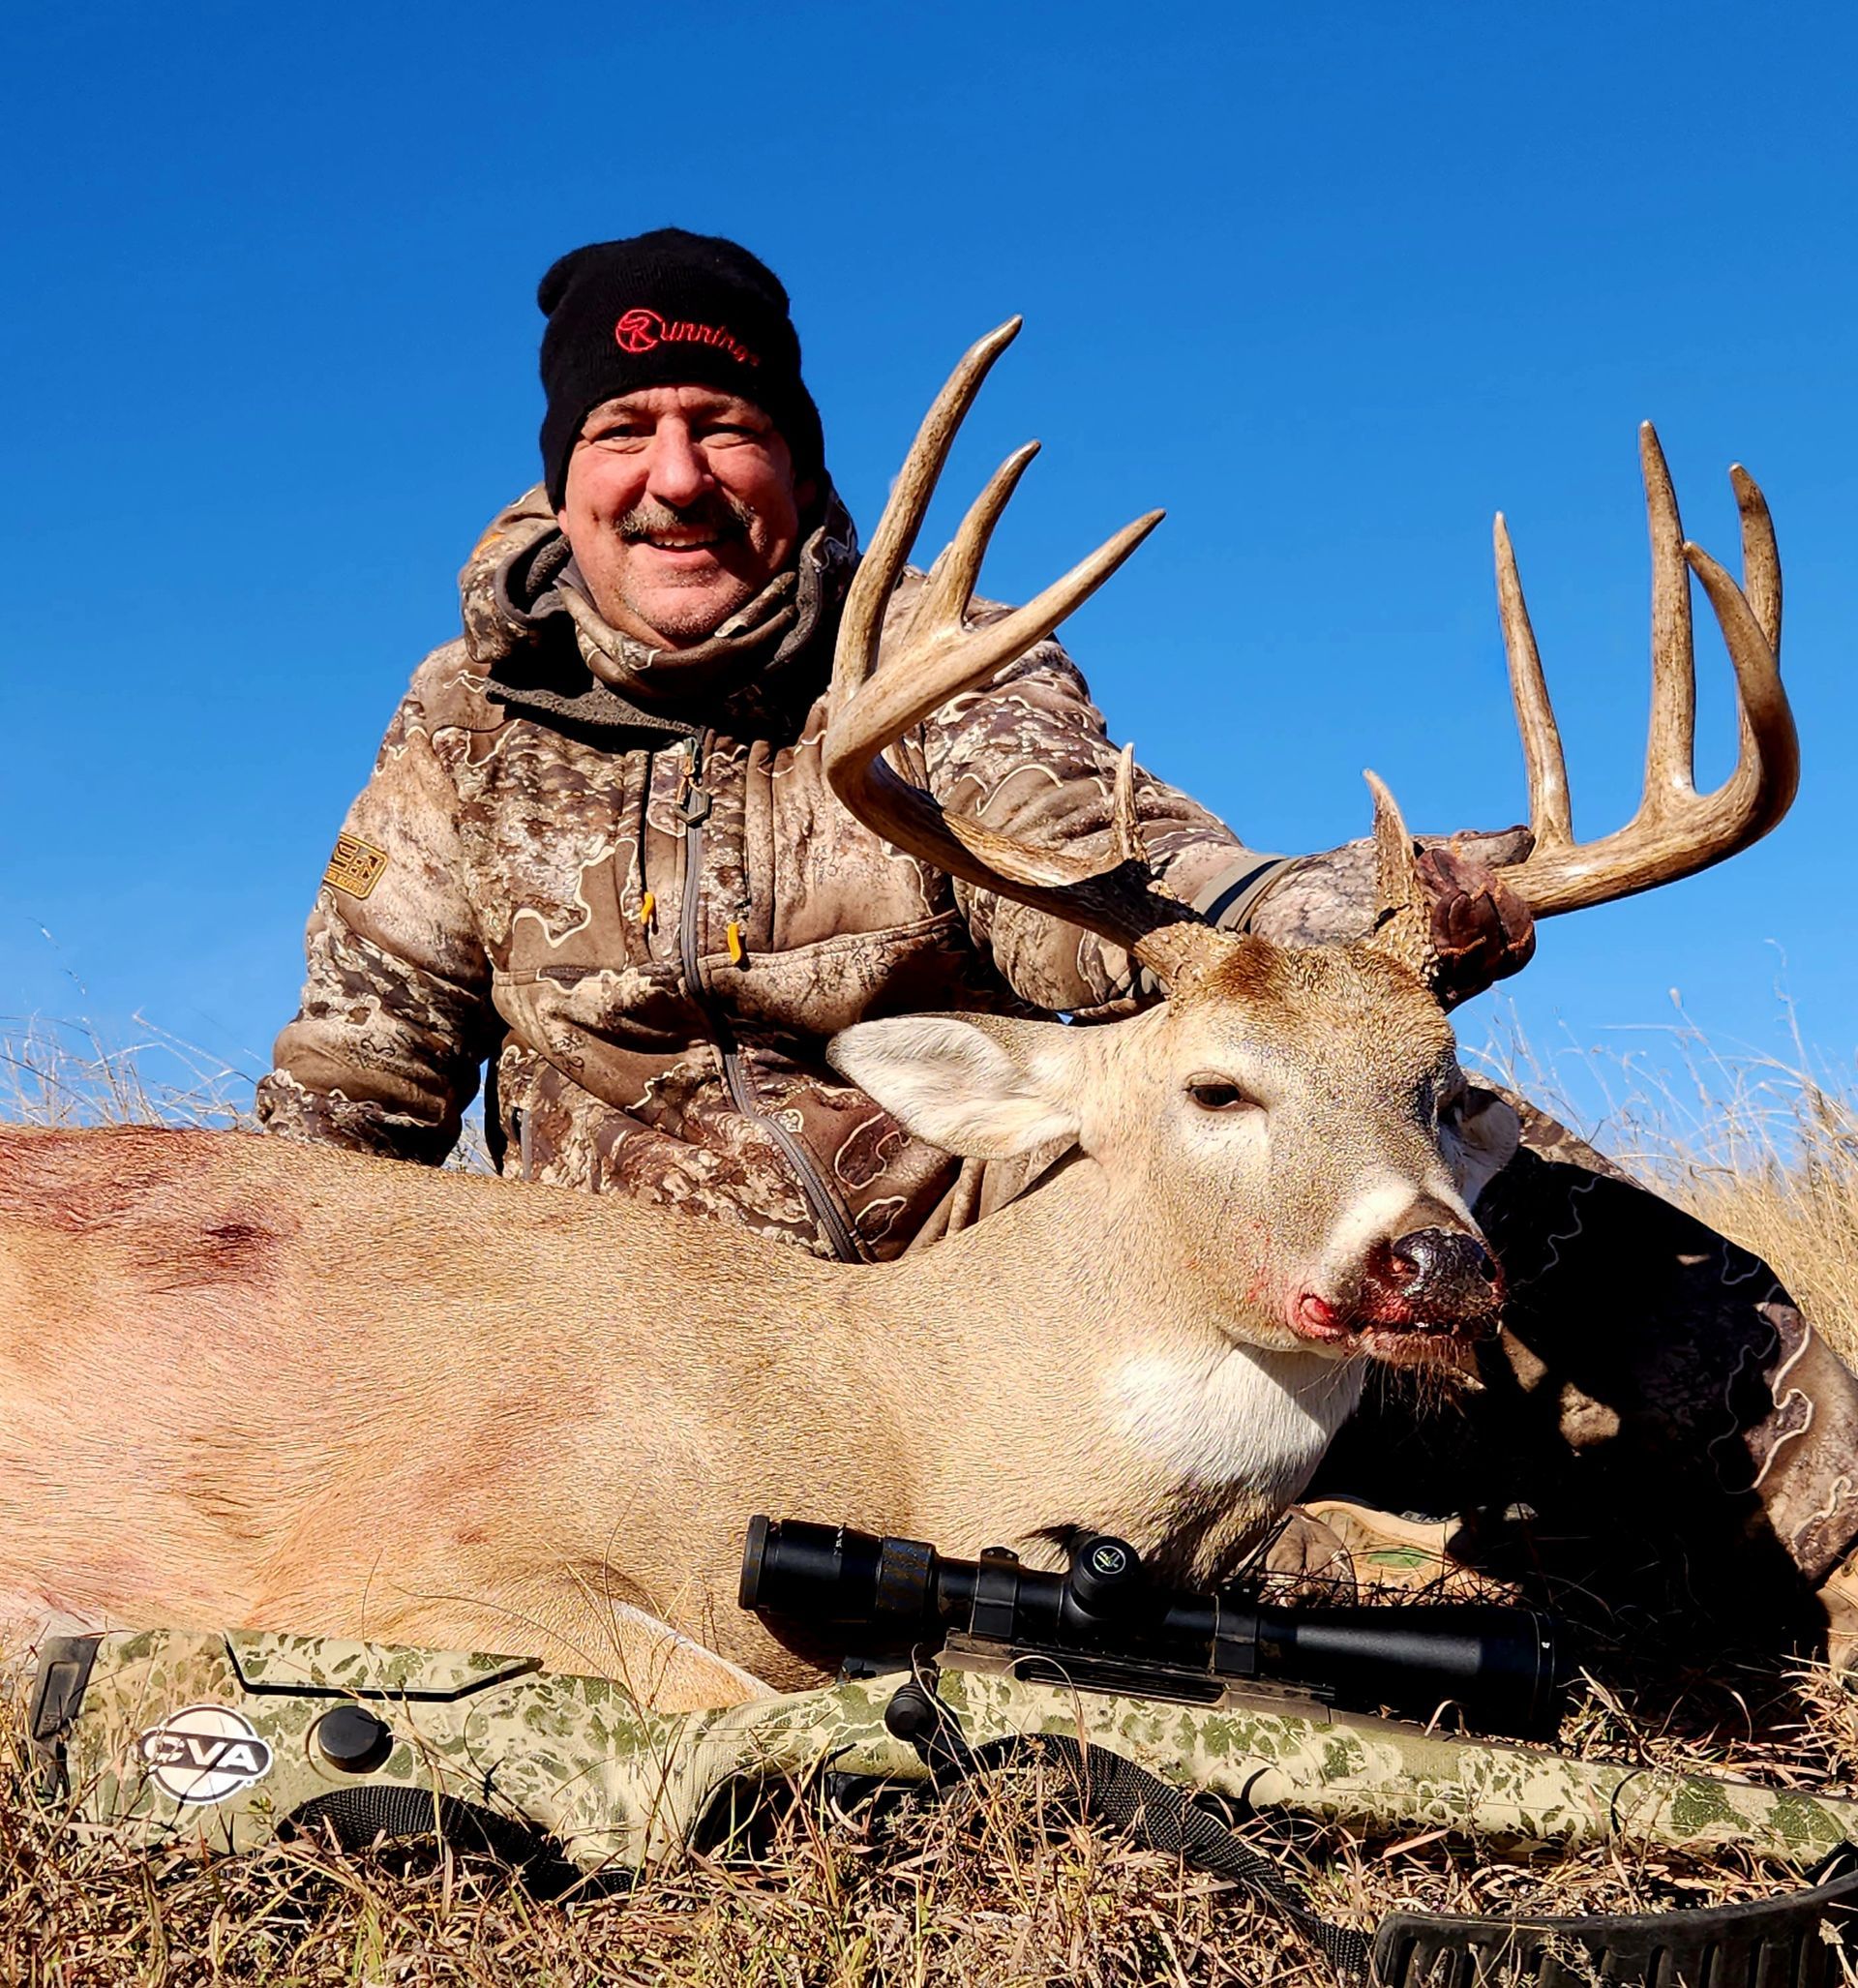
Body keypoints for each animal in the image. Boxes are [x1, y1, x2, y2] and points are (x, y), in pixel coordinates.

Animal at [0, 324, 1796, 1711]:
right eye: (1217, 1088)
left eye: (1437, 1083)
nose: (1435, 1258)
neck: (897, 1422)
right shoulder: (415, 1544)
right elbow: (726, 1694)